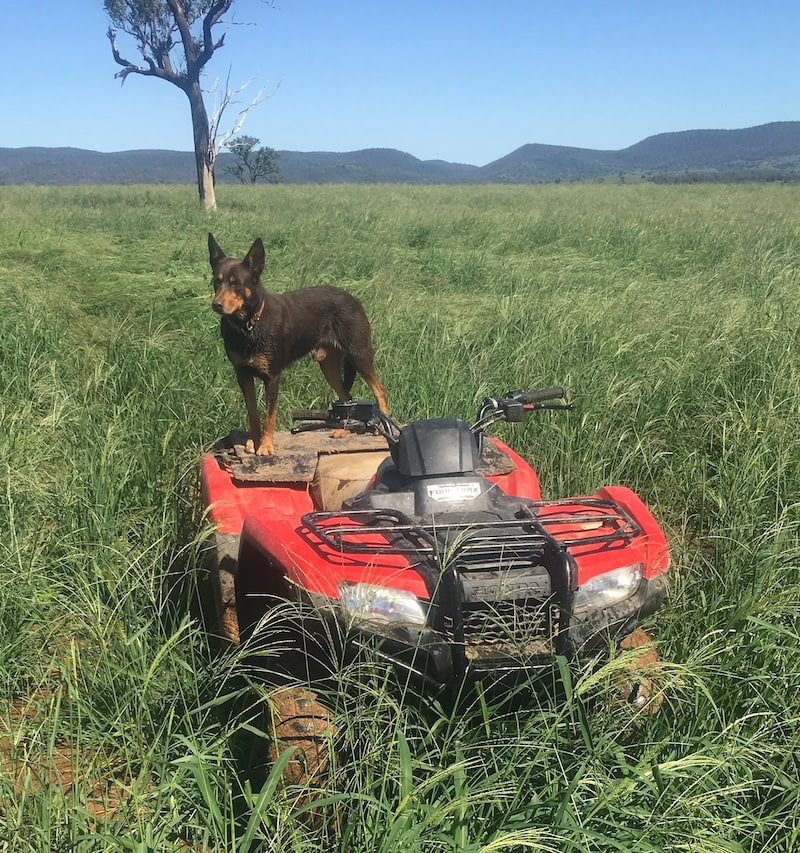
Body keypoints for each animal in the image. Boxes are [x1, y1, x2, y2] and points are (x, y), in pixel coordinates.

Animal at [208, 233, 386, 456]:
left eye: (236, 283)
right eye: (217, 281)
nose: (216, 305)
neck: (249, 326)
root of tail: (351, 297)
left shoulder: (272, 377)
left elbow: (270, 415)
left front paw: (265, 446)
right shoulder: (243, 375)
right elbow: (253, 413)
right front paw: (252, 441)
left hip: (359, 354)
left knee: (379, 389)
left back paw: (383, 428)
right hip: (328, 365)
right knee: (346, 395)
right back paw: (342, 431)